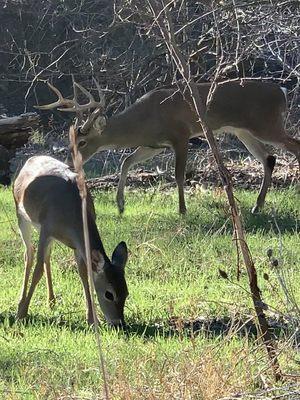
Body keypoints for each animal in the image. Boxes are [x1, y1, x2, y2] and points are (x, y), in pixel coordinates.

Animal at [13, 155, 128, 326]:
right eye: (109, 294)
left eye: (126, 292)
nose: (119, 323)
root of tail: (32, 159)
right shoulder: (47, 229)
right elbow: (37, 271)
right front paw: (21, 314)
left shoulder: (75, 245)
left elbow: (83, 274)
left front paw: (92, 319)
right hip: (21, 216)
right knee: (29, 254)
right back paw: (21, 302)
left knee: (47, 257)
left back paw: (51, 300)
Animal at [35, 79, 300, 214]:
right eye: (71, 142)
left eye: (82, 142)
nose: (70, 164)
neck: (146, 118)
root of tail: (282, 91)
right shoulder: (155, 145)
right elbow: (126, 161)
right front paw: (120, 203)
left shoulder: (181, 136)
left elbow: (179, 174)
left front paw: (182, 209)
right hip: (243, 130)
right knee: (269, 158)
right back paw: (257, 205)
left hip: (266, 124)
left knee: (293, 146)